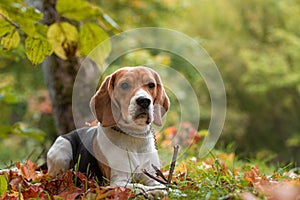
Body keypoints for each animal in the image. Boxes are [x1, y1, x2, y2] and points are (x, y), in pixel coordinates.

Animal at [46, 66, 169, 197]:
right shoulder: (118, 182)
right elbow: (141, 186)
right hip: (62, 148)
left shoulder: (151, 176)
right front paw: (155, 191)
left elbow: (163, 185)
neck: (133, 136)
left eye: (151, 85)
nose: (144, 101)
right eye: (124, 85)